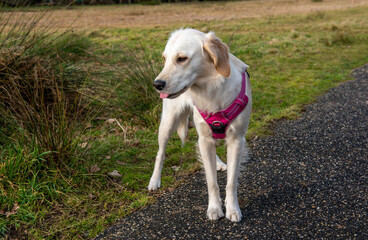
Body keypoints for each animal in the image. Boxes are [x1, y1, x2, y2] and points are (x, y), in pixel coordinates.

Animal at [148, 28, 252, 223]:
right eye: (165, 58)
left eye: (182, 58)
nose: (157, 84)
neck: (211, 90)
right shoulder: (204, 138)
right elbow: (211, 181)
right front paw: (214, 208)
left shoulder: (236, 140)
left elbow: (231, 181)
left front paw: (233, 209)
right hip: (168, 123)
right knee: (160, 153)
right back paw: (154, 180)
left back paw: (218, 162)